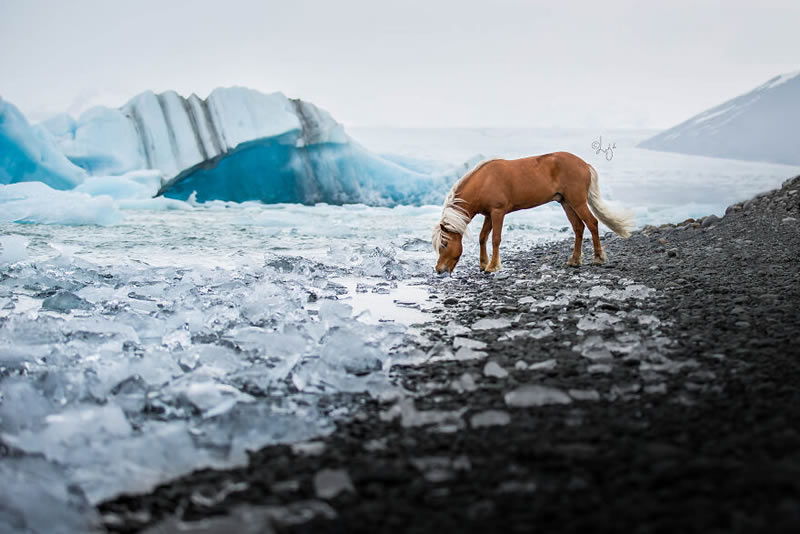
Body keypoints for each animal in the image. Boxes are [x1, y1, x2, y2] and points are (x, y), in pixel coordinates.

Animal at [434, 153, 636, 274]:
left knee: (592, 223)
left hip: (577, 202)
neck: (484, 181)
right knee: (579, 227)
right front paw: (484, 264)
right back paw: (574, 260)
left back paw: (598, 257)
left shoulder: (498, 212)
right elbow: (483, 238)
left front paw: (492, 266)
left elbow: (495, 239)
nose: (438, 269)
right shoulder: (489, 215)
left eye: (444, 244)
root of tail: (584, 164)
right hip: (566, 203)